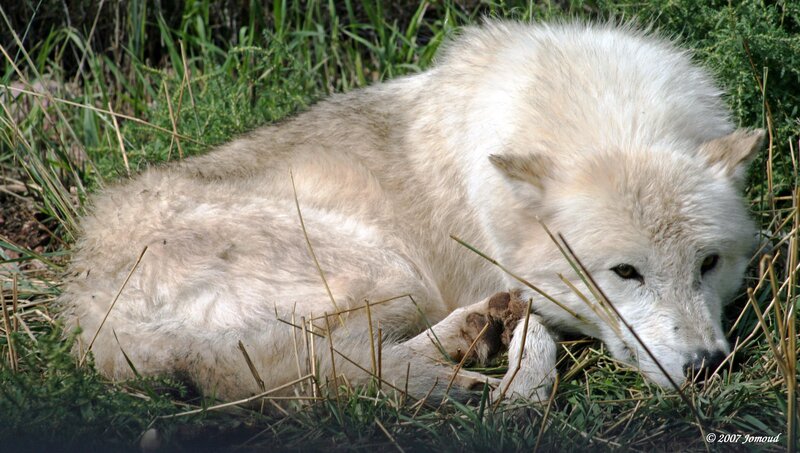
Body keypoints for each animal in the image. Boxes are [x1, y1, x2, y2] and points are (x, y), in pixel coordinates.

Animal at [59, 21, 763, 404]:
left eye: (709, 264)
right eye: (625, 272)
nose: (706, 367)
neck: (606, 115)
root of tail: (90, 308)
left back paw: (475, 338)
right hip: (389, 269)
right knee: (337, 371)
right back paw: (466, 369)